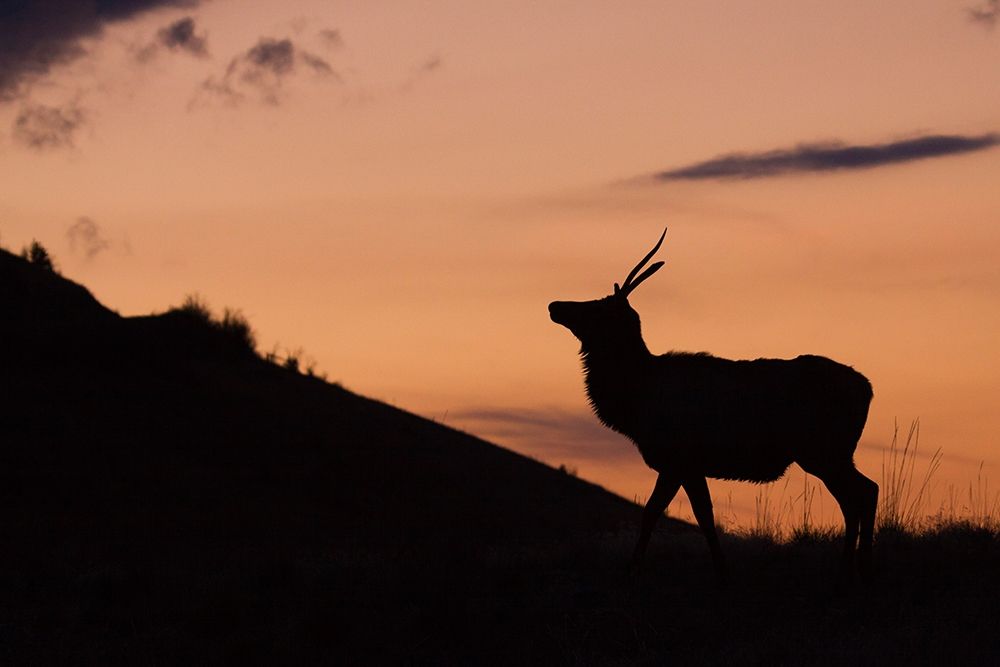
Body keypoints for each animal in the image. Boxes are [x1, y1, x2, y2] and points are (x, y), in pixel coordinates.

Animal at [548, 229, 877, 584]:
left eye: (598, 307)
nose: (555, 305)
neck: (635, 401)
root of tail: (868, 389)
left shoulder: (678, 457)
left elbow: (659, 512)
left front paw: (634, 569)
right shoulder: (689, 464)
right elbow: (700, 514)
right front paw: (721, 569)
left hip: (823, 450)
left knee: (865, 492)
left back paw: (860, 568)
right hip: (833, 453)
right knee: (856, 497)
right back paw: (849, 568)